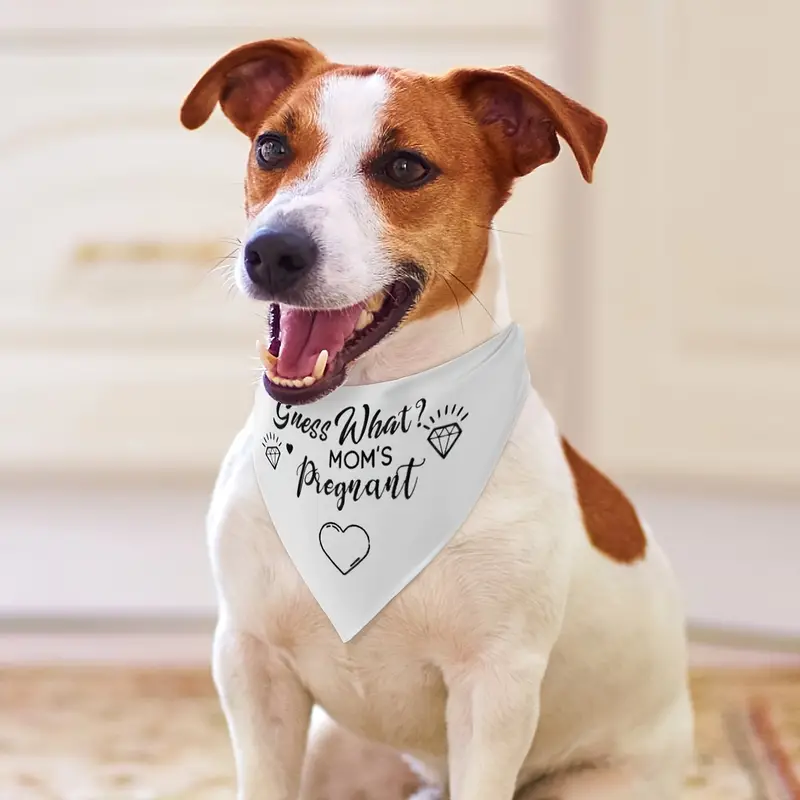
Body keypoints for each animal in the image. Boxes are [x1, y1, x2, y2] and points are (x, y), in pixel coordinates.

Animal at [181, 37, 692, 800]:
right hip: (337, 752)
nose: (272, 250)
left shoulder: (495, 689)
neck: (365, 420)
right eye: (272, 147)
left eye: (405, 167)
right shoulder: (251, 662)